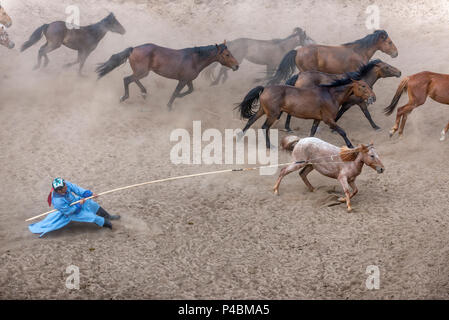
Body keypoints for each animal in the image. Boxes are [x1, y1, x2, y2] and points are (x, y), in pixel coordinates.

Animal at [96, 41, 240, 109]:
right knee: (127, 79)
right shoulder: (182, 80)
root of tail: (133, 49)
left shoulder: (188, 80)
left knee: (133, 80)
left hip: (142, 72)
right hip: (142, 72)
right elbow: (176, 92)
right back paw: (124, 97)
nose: (237, 66)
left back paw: (144, 93)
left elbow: (190, 90)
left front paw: (177, 99)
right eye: (227, 54)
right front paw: (169, 106)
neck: (194, 59)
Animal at [234, 71, 374, 149]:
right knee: (264, 127)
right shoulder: (328, 120)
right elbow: (342, 132)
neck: (331, 95)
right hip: (272, 114)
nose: (373, 97)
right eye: (363, 86)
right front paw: (351, 146)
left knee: (250, 121)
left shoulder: (317, 119)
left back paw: (239, 138)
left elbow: (312, 133)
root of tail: (265, 88)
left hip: (263, 110)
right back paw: (269, 146)